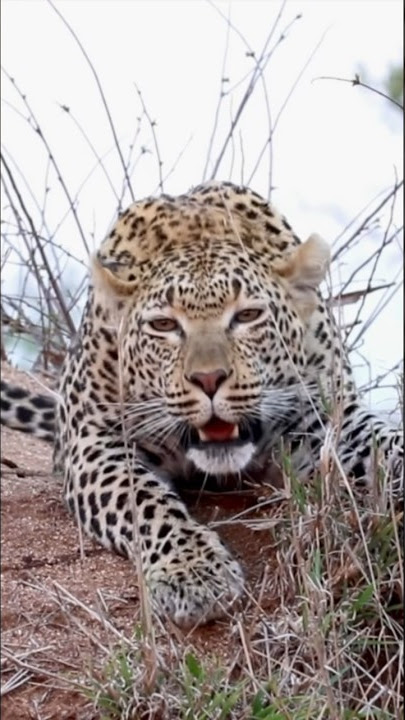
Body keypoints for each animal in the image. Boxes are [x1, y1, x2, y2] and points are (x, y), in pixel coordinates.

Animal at [1, 181, 403, 627]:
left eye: (247, 316)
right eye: (164, 325)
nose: (209, 379)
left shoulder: (324, 416)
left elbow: (382, 442)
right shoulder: (95, 440)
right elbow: (144, 500)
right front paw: (192, 571)